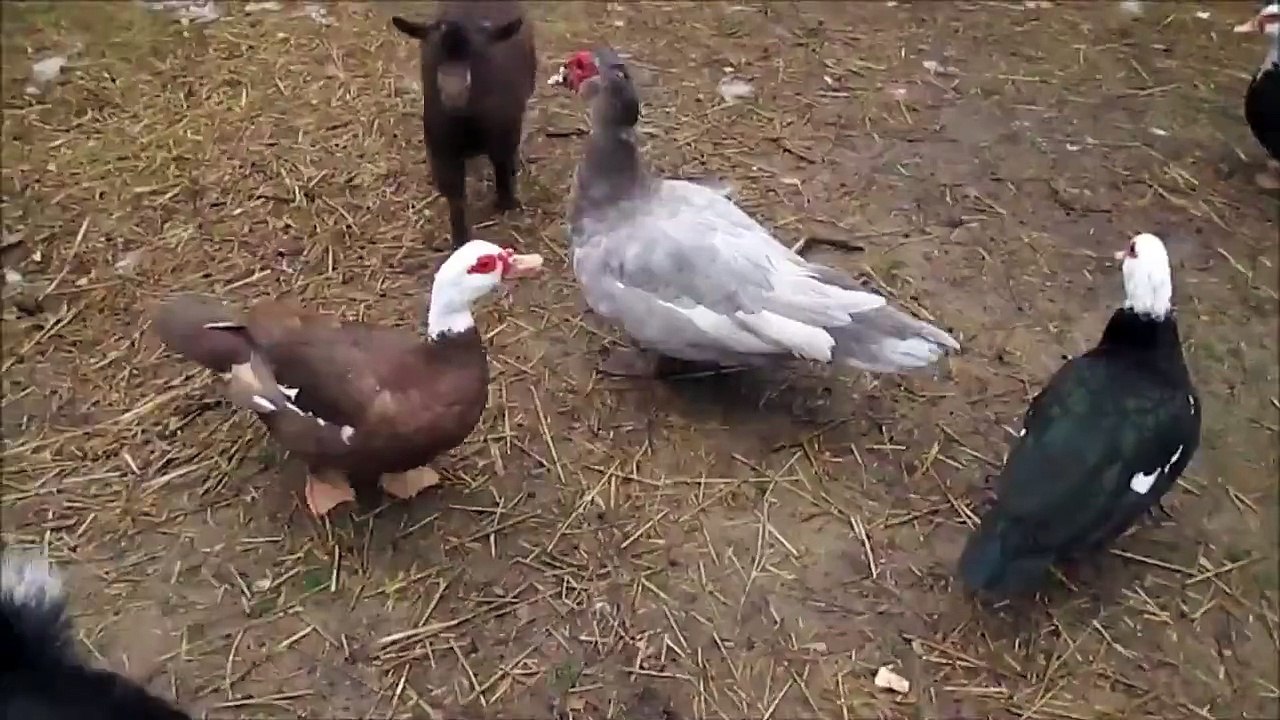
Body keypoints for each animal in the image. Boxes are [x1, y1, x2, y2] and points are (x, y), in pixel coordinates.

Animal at [392, 1, 537, 249]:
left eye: (479, 54)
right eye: (432, 54)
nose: (453, 93)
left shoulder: (504, 134)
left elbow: (502, 165)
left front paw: (507, 202)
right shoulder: (443, 150)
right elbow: (455, 197)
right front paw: (460, 241)